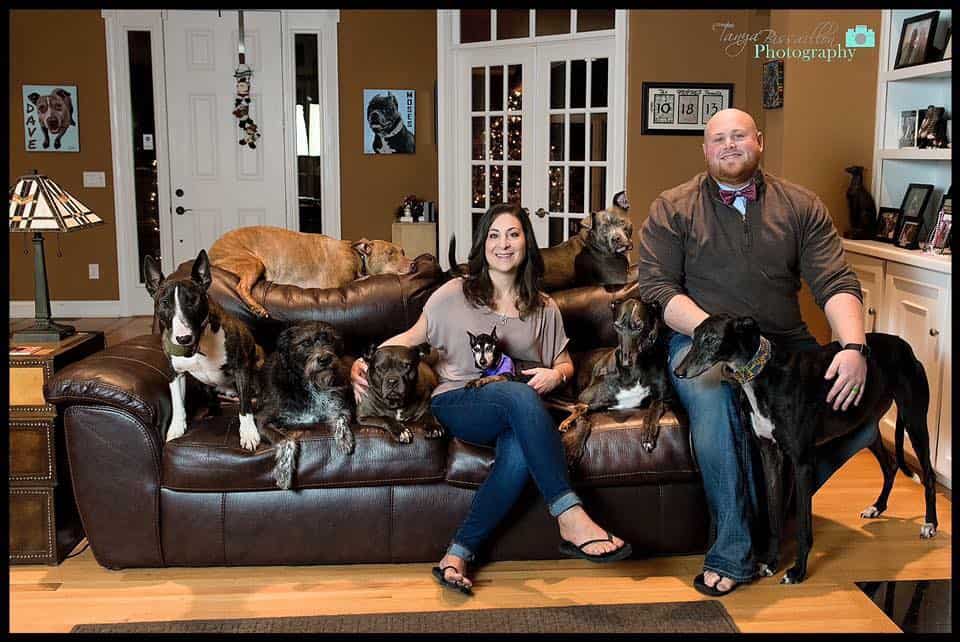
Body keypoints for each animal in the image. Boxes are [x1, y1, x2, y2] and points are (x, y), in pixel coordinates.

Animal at [210, 225, 416, 318]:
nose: (414, 264)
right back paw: (256, 306)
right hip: (254, 262)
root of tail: (212, 251)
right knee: (241, 287)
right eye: (390, 253)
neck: (358, 258)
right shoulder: (338, 284)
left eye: (403, 252)